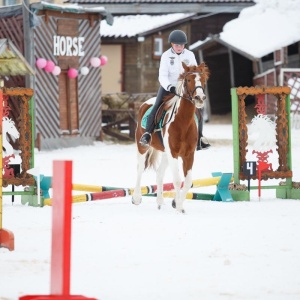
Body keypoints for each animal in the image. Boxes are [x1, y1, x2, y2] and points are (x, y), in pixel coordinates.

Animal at [132, 61, 210, 213]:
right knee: (139, 169)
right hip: (142, 147)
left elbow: (188, 181)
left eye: (203, 79)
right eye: (188, 80)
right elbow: (178, 180)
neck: (183, 121)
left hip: (165, 153)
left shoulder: (188, 154)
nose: (200, 98)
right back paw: (136, 198)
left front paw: (176, 203)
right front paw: (179, 207)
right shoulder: (174, 153)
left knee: (159, 173)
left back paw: (160, 202)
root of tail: (145, 103)